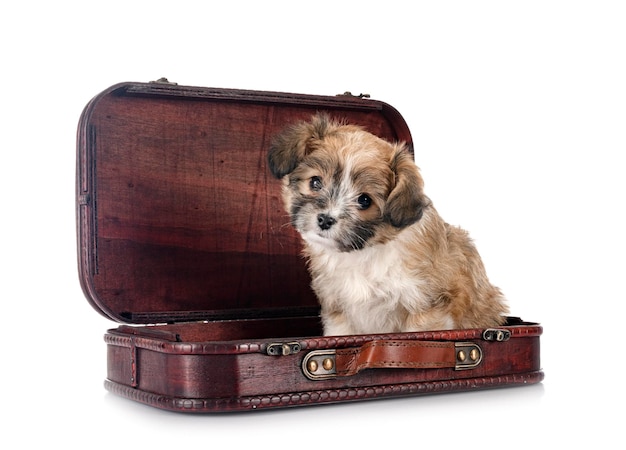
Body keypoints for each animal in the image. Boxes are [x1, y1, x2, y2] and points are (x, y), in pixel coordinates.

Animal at [268, 114, 508, 336]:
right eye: (315, 182)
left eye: (364, 200)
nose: (325, 219)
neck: (363, 253)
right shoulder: (338, 311)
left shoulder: (426, 308)